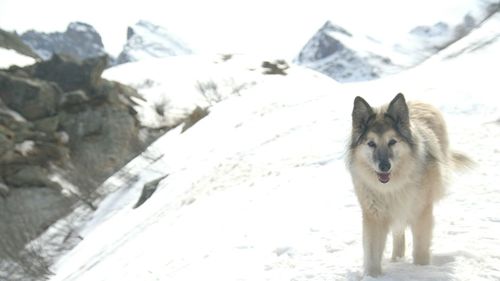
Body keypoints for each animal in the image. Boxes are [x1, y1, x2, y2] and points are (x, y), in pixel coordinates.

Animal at [346, 92, 470, 276]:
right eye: (371, 144)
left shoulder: (421, 212)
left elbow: (420, 248)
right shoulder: (374, 216)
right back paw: (396, 259)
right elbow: (372, 253)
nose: (384, 166)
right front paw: (373, 276)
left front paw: (421, 270)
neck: (392, 187)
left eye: (392, 142)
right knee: (398, 233)